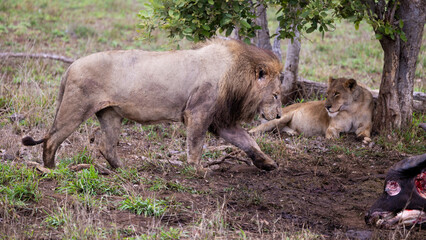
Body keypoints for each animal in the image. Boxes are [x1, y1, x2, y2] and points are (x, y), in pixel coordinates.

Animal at [22, 39, 282, 171]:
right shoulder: (198, 112)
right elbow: (196, 144)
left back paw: (122, 168)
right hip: (76, 108)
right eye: (277, 95)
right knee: (52, 139)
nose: (279, 116)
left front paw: (267, 163)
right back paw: (51, 168)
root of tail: (71, 66)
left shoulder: (220, 120)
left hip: (110, 114)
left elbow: (247, 140)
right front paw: (198, 170)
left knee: (106, 145)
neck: (236, 73)